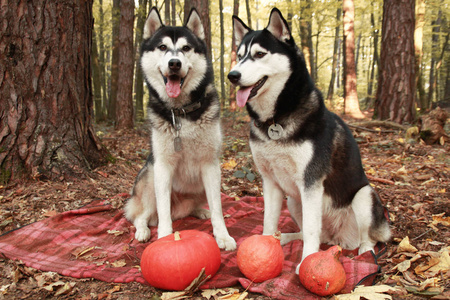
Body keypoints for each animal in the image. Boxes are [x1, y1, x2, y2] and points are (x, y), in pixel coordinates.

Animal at [123, 7, 236, 251]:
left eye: (185, 48)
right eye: (162, 47)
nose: (174, 63)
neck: (181, 112)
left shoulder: (211, 165)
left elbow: (217, 208)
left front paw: (222, 235)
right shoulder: (163, 166)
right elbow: (163, 211)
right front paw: (165, 237)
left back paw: (200, 211)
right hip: (149, 177)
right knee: (142, 215)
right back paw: (143, 230)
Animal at [229, 8, 390, 274]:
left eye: (260, 54)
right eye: (240, 56)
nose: (232, 75)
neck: (276, 118)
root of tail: (337, 240)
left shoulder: (311, 182)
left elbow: (313, 230)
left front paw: (306, 261)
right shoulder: (270, 181)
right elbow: (269, 220)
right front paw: (266, 241)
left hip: (364, 196)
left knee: (366, 238)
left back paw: (366, 253)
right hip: (295, 200)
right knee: (305, 233)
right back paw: (284, 237)